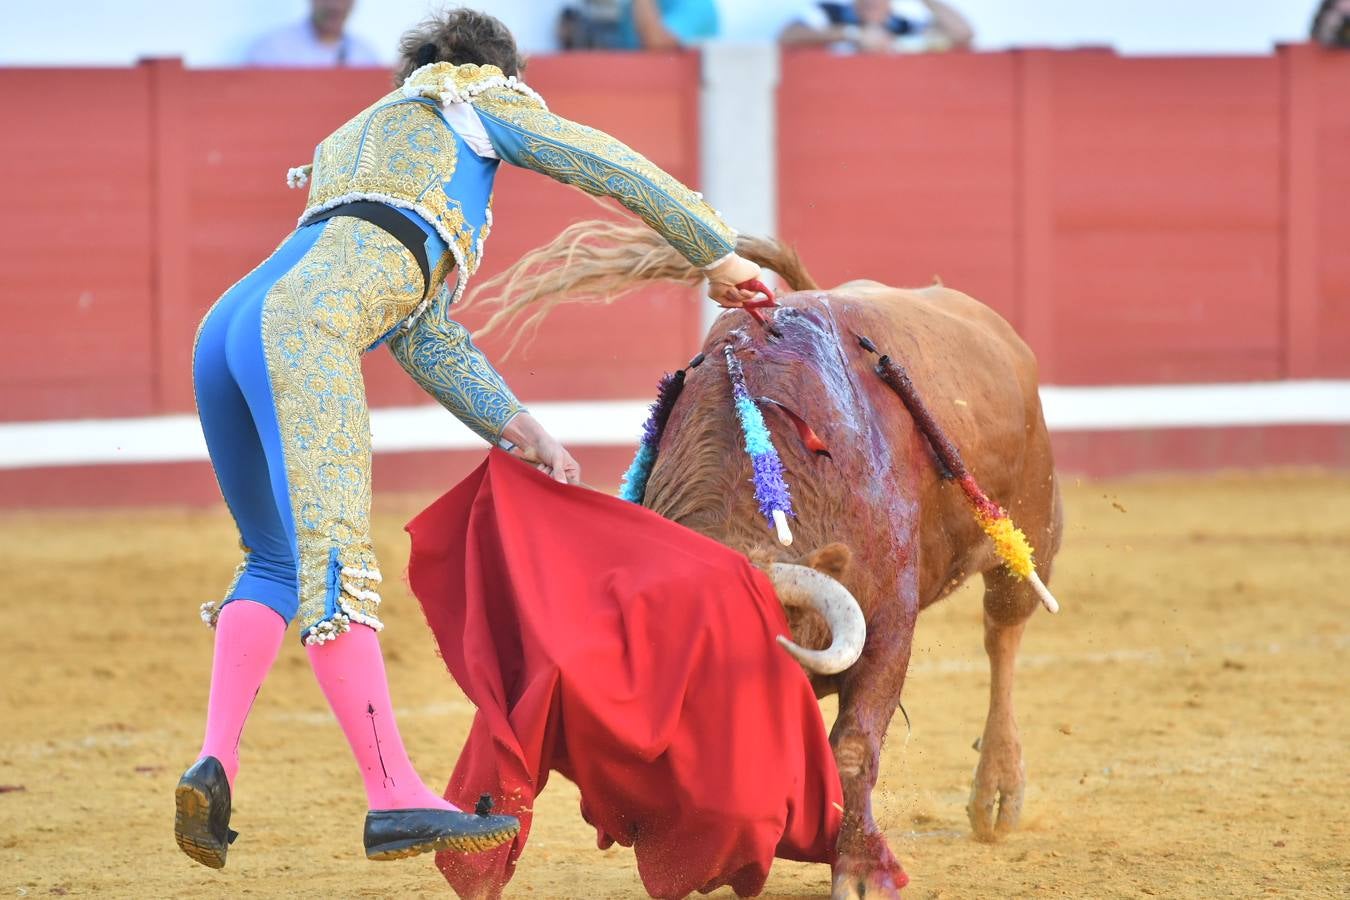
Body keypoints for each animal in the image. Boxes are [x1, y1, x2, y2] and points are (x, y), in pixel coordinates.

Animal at [475, 219, 1063, 900]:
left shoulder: (890, 624)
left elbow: (853, 747)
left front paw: (860, 869)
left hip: (1032, 528)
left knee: (1004, 636)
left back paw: (997, 793)